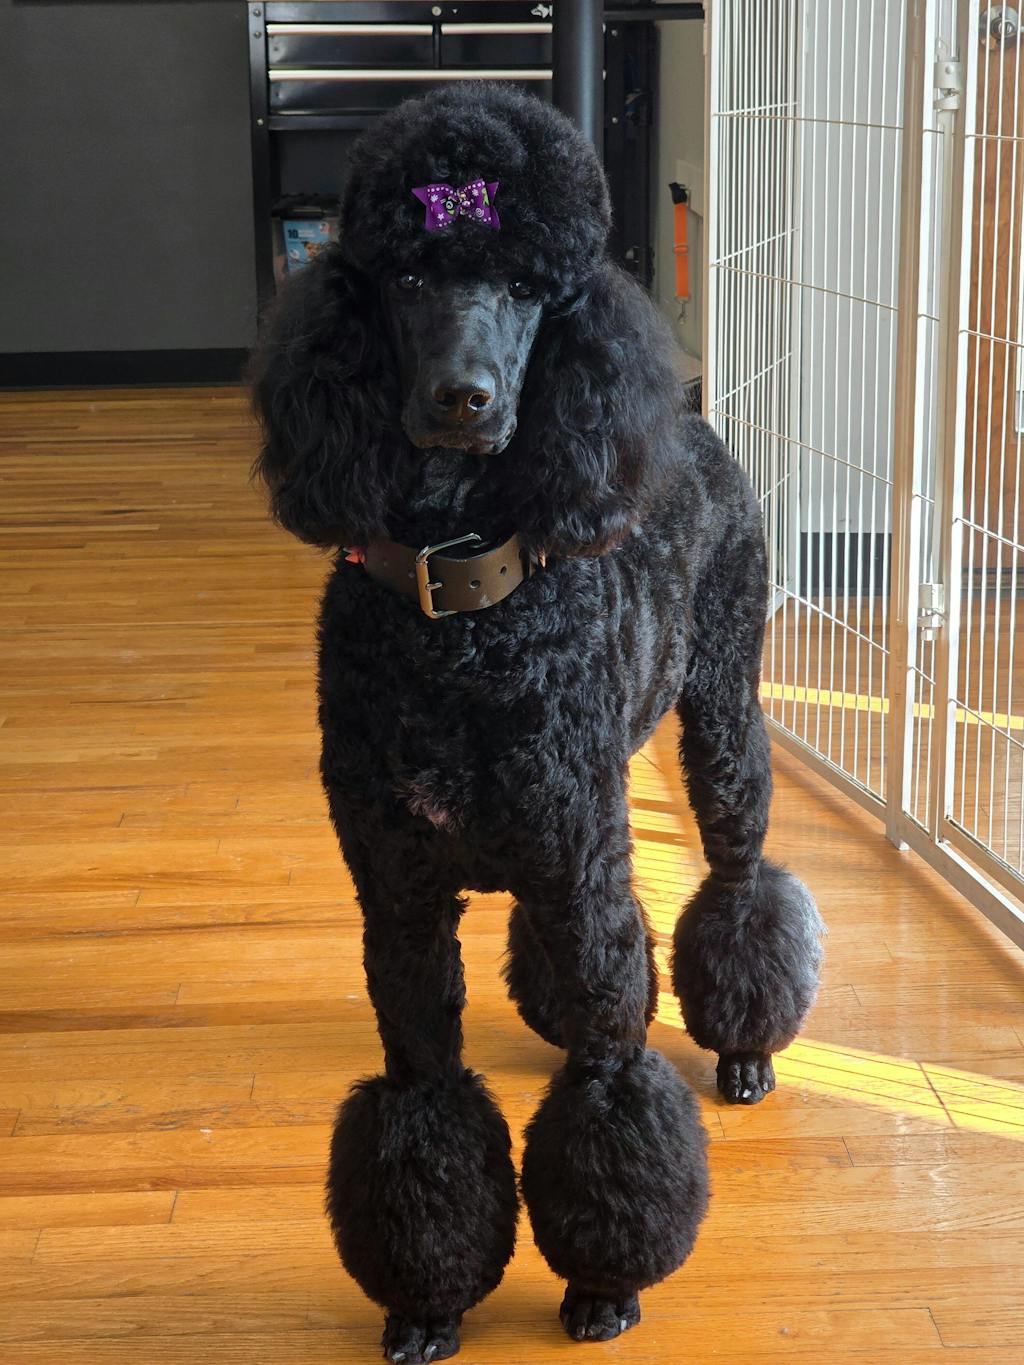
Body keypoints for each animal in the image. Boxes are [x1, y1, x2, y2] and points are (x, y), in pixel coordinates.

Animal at [252, 82, 824, 1365]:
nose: (463, 399)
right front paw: (425, 1302)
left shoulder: (577, 862)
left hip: (721, 719)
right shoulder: (403, 898)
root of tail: (688, 418)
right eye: (408, 278)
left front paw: (604, 1285)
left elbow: (614, 1089)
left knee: (741, 875)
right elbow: (423, 1097)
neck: (454, 608)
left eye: (524, 287)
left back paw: (744, 1048)